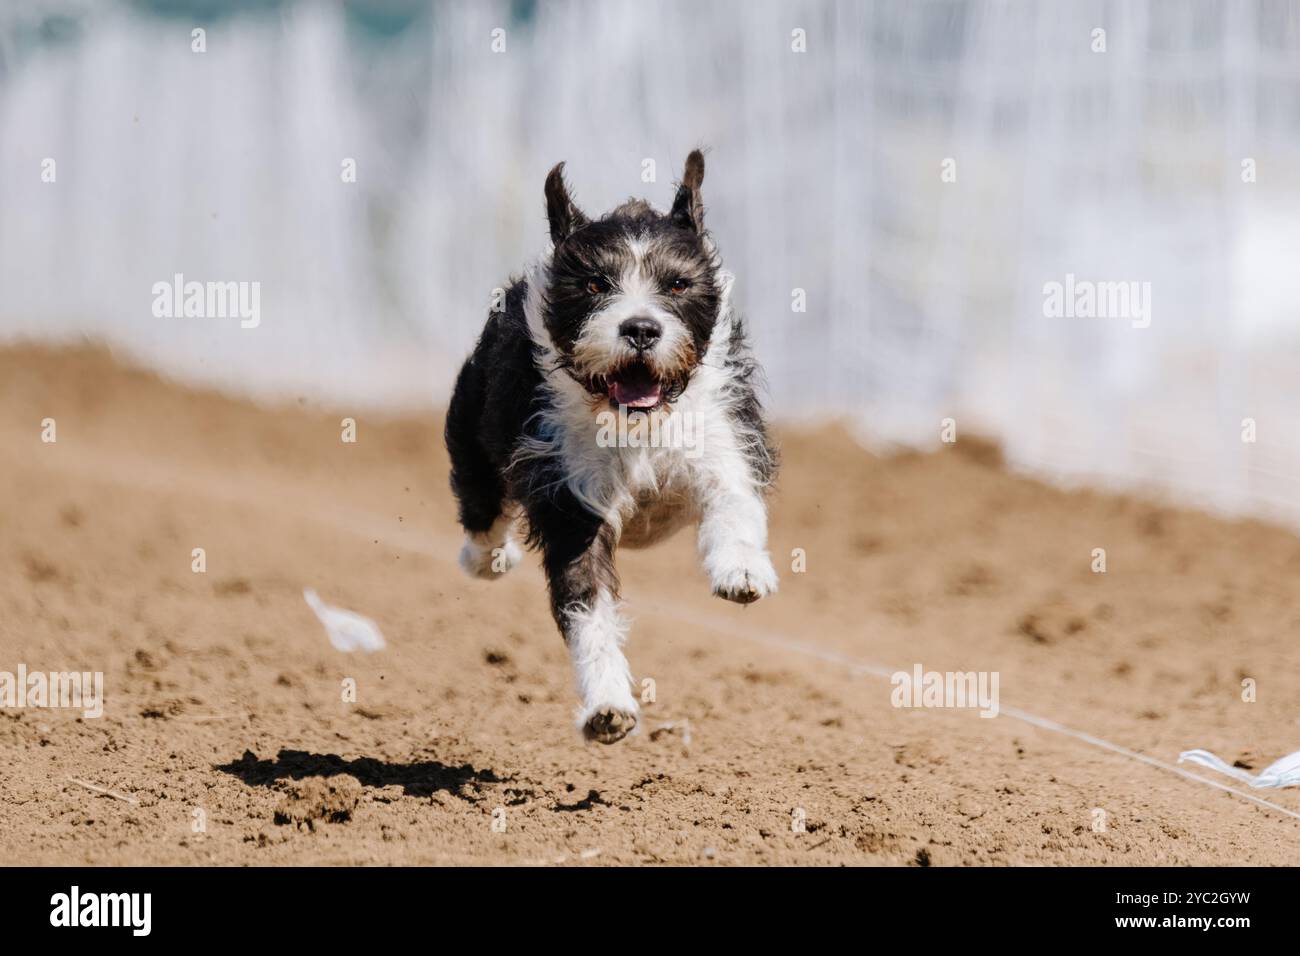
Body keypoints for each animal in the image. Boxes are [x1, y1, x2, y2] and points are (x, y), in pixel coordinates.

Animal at [447, 153, 774, 743]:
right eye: (597, 283)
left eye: (677, 283)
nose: (641, 329)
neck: (633, 423)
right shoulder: (569, 495)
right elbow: (586, 601)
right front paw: (607, 706)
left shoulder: (722, 439)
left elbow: (734, 502)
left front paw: (740, 571)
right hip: (472, 434)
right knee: (481, 510)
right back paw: (487, 558)